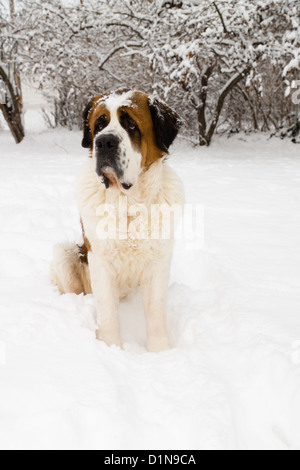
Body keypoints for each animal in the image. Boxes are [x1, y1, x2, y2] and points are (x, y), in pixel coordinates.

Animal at [50, 89, 184, 352]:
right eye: (99, 125)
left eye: (131, 125)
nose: (104, 142)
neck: (128, 204)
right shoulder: (99, 261)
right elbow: (108, 313)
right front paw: (110, 348)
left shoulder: (158, 262)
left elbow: (155, 312)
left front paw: (160, 352)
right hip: (65, 253)